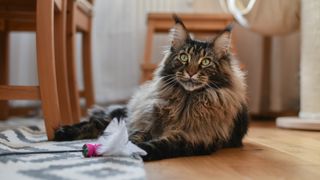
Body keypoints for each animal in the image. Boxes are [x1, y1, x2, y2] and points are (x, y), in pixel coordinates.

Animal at [54, 14, 250, 161]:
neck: (186, 101)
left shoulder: (194, 138)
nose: (191, 73)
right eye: (184, 57)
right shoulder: (147, 123)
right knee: (96, 122)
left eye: (206, 62)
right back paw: (62, 132)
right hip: (130, 113)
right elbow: (134, 134)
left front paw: (135, 149)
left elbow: (161, 145)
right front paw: (126, 144)